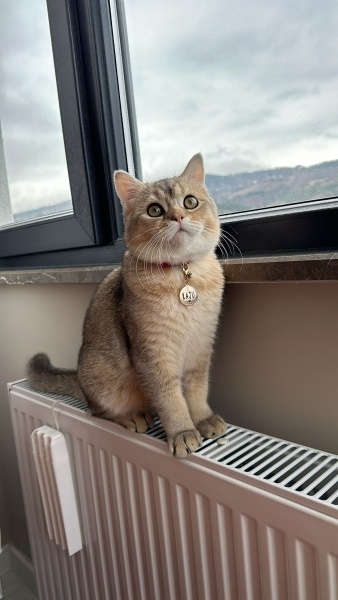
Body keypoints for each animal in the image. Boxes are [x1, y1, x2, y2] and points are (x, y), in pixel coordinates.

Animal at [27, 152, 226, 458]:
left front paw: (202, 418)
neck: (181, 276)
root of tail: (81, 382)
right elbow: (170, 398)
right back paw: (133, 416)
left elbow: (197, 389)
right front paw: (182, 432)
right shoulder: (152, 354)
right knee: (96, 411)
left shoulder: (201, 345)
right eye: (155, 210)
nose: (178, 216)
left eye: (190, 202)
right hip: (105, 381)